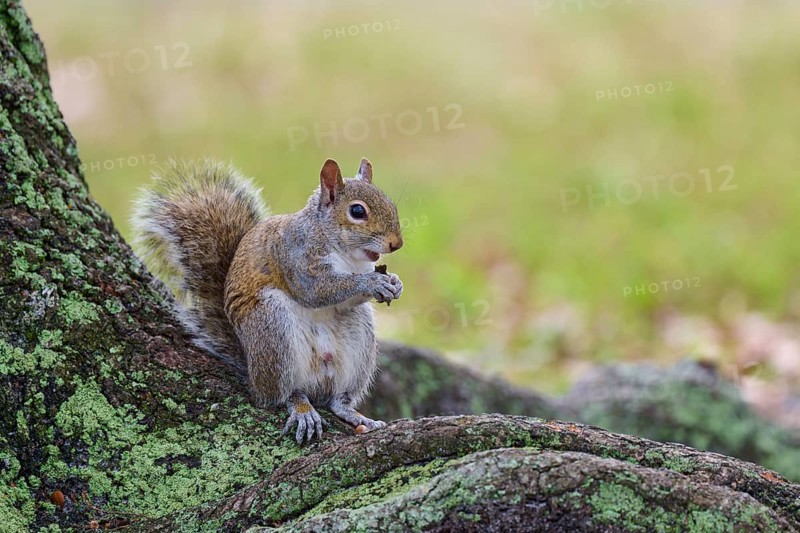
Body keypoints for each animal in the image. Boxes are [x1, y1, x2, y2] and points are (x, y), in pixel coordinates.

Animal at [131, 157, 404, 444]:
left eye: (390, 203)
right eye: (357, 211)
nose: (396, 243)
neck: (343, 251)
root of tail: (252, 372)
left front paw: (395, 283)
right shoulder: (295, 255)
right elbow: (315, 291)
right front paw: (372, 283)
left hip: (357, 343)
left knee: (336, 400)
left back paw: (354, 414)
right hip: (271, 327)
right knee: (282, 394)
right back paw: (301, 408)